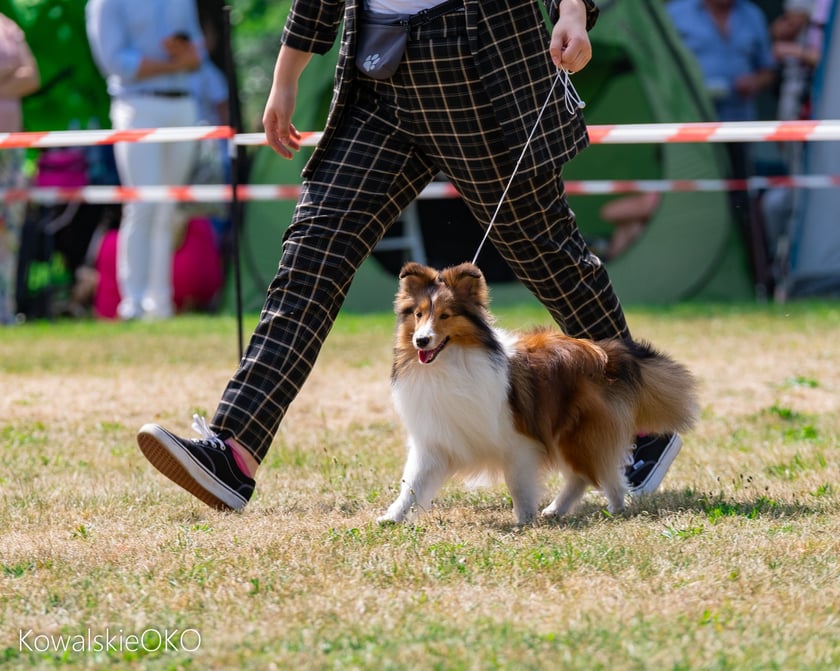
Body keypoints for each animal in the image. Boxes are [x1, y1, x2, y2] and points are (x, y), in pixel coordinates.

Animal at [378, 262, 700, 524]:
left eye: (445, 315)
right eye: (418, 314)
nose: (421, 341)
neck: (450, 363)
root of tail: (608, 353)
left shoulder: (518, 440)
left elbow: (518, 483)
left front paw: (523, 518)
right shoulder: (435, 440)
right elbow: (412, 484)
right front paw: (391, 517)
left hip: (576, 431)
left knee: (602, 473)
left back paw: (616, 507)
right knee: (583, 476)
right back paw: (557, 510)